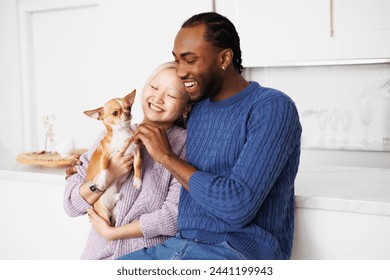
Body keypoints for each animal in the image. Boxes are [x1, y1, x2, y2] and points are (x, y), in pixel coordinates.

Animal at [83, 89, 142, 225]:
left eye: (129, 107)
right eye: (115, 113)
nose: (127, 113)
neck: (121, 134)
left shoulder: (137, 152)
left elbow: (138, 166)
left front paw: (137, 181)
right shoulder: (105, 155)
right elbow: (104, 168)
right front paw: (102, 181)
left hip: (114, 213)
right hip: (103, 213)